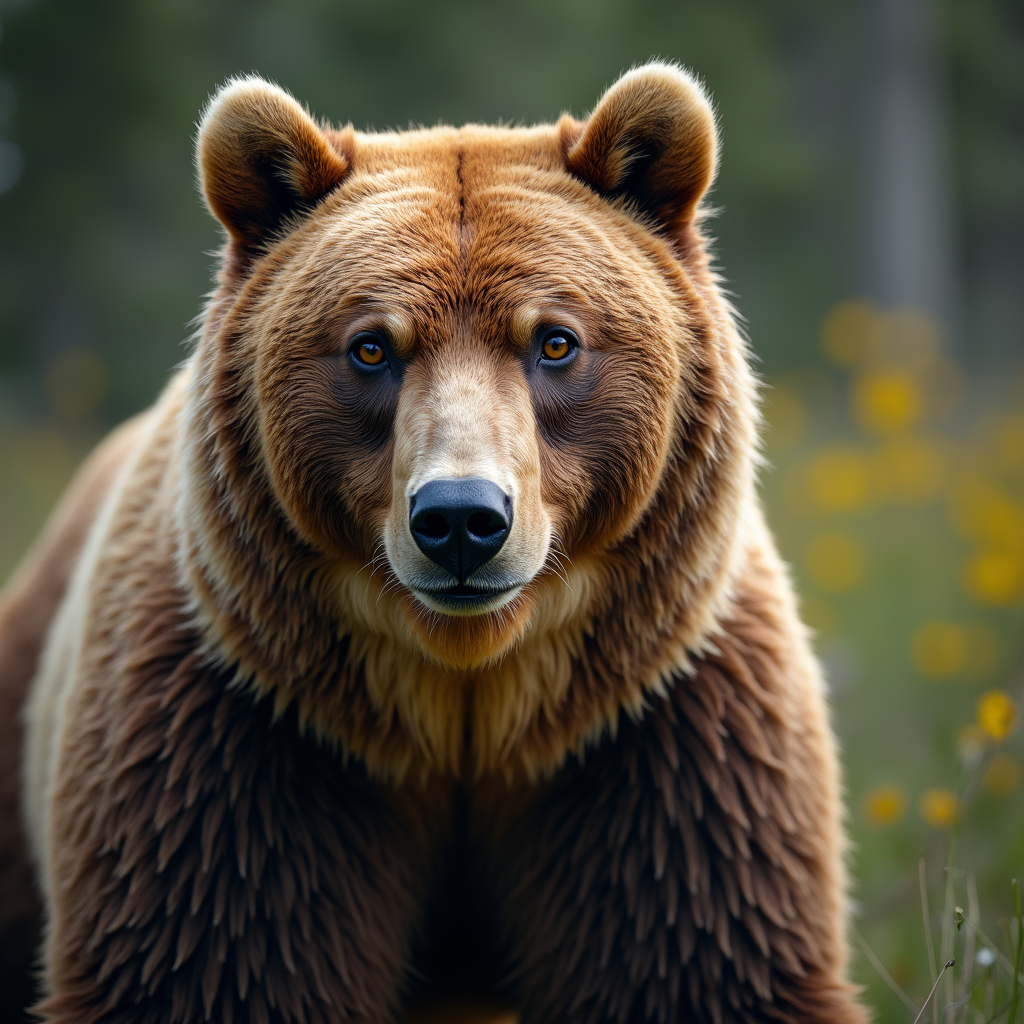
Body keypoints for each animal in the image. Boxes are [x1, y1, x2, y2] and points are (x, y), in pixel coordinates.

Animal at [0, 63, 868, 1024]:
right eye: (371, 347)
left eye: (555, 340)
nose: (461, 518)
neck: (464, 706)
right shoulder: (245, 744)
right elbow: (220, 958)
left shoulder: (659, 738)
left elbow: (702, 958)